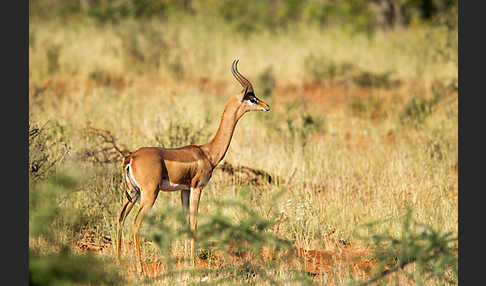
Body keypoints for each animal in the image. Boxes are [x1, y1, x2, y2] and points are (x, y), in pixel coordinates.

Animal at [116, 59, 272, 272]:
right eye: (252, 99)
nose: (267, 106)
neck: (207, 152)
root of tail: (131, 157)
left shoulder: (184, 190)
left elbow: (184, 222)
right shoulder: (197, 188)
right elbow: (194, 222)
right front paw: (192, 261)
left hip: (133, 193)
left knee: (120, 217)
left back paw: (117, 260)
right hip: (149, 194)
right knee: (136, 222)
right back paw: (140, 268)